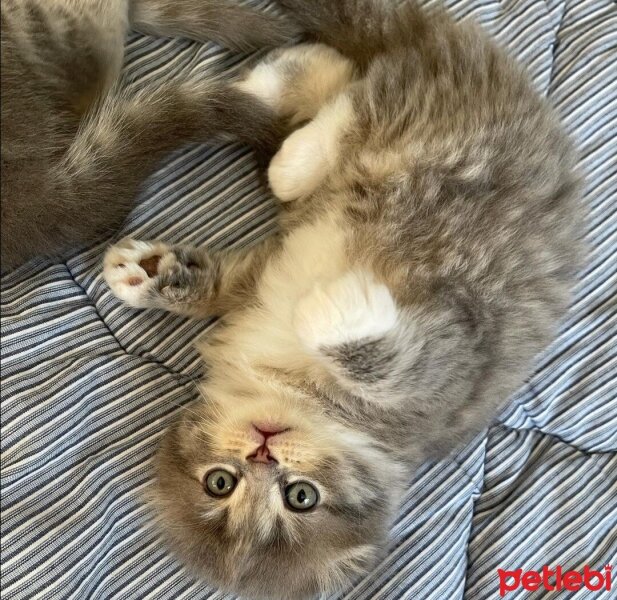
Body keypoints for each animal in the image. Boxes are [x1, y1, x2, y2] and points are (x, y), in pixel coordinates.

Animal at [102, 1, 584, 600]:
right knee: (355, 85)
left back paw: (296, 136)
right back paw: (294, 82)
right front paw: (142, 277)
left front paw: (332, 309)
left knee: (362, 99)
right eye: (221, 483)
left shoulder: (446, 359)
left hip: (430, 128)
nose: (262, 451)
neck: (291, 390)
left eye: (300, 497)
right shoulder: (264, 275)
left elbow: (378, 361)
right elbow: (214, 285)